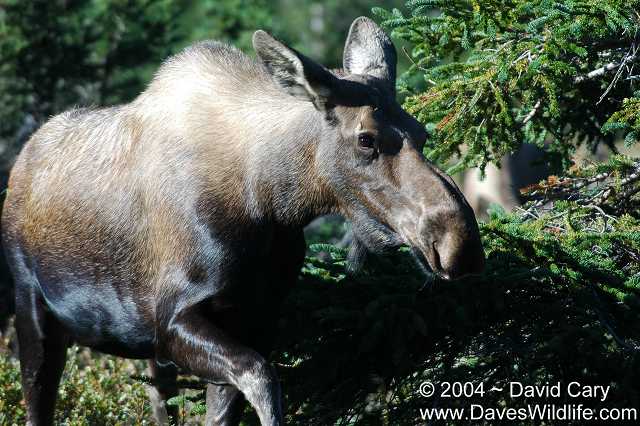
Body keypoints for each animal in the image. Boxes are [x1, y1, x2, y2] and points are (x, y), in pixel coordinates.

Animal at [1, 17, 484, 426]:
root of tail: (22, 159)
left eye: (422, 132)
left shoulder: (255, 317)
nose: (459, 244)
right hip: (32, 308)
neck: (271, 202)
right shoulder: (170, 321)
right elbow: (264, 382)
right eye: (365, 138)